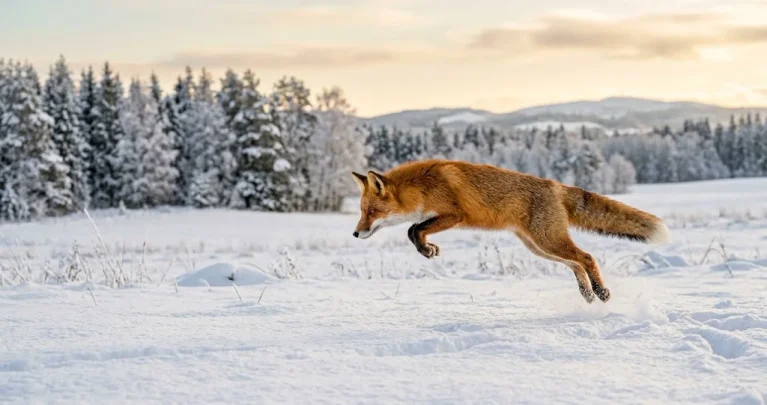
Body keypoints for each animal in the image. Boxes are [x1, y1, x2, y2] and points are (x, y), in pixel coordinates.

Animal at [350, 159, 670, 304]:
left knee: (587, 257)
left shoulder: (454, 214)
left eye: (371, 212)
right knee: (576, 263)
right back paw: (587, 293)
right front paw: (427, 249)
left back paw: (600, 291)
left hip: (547, 240)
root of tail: (555, 185)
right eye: (361, 211)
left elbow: (414, 228)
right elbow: (412, 230)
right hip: (538, 246)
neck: (422, 187)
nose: (355, 234)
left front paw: (427, 249)